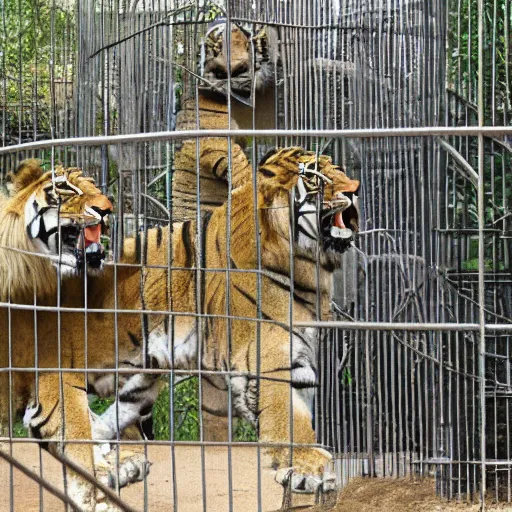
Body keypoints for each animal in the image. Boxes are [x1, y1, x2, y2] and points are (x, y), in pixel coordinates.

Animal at [89, 147, 360, 496]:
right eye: (314, 176)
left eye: (338, 170)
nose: (354, 189)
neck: (309, 266)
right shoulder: (269, 356)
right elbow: (287, 415)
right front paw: (307, 465)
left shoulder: (299, 355)